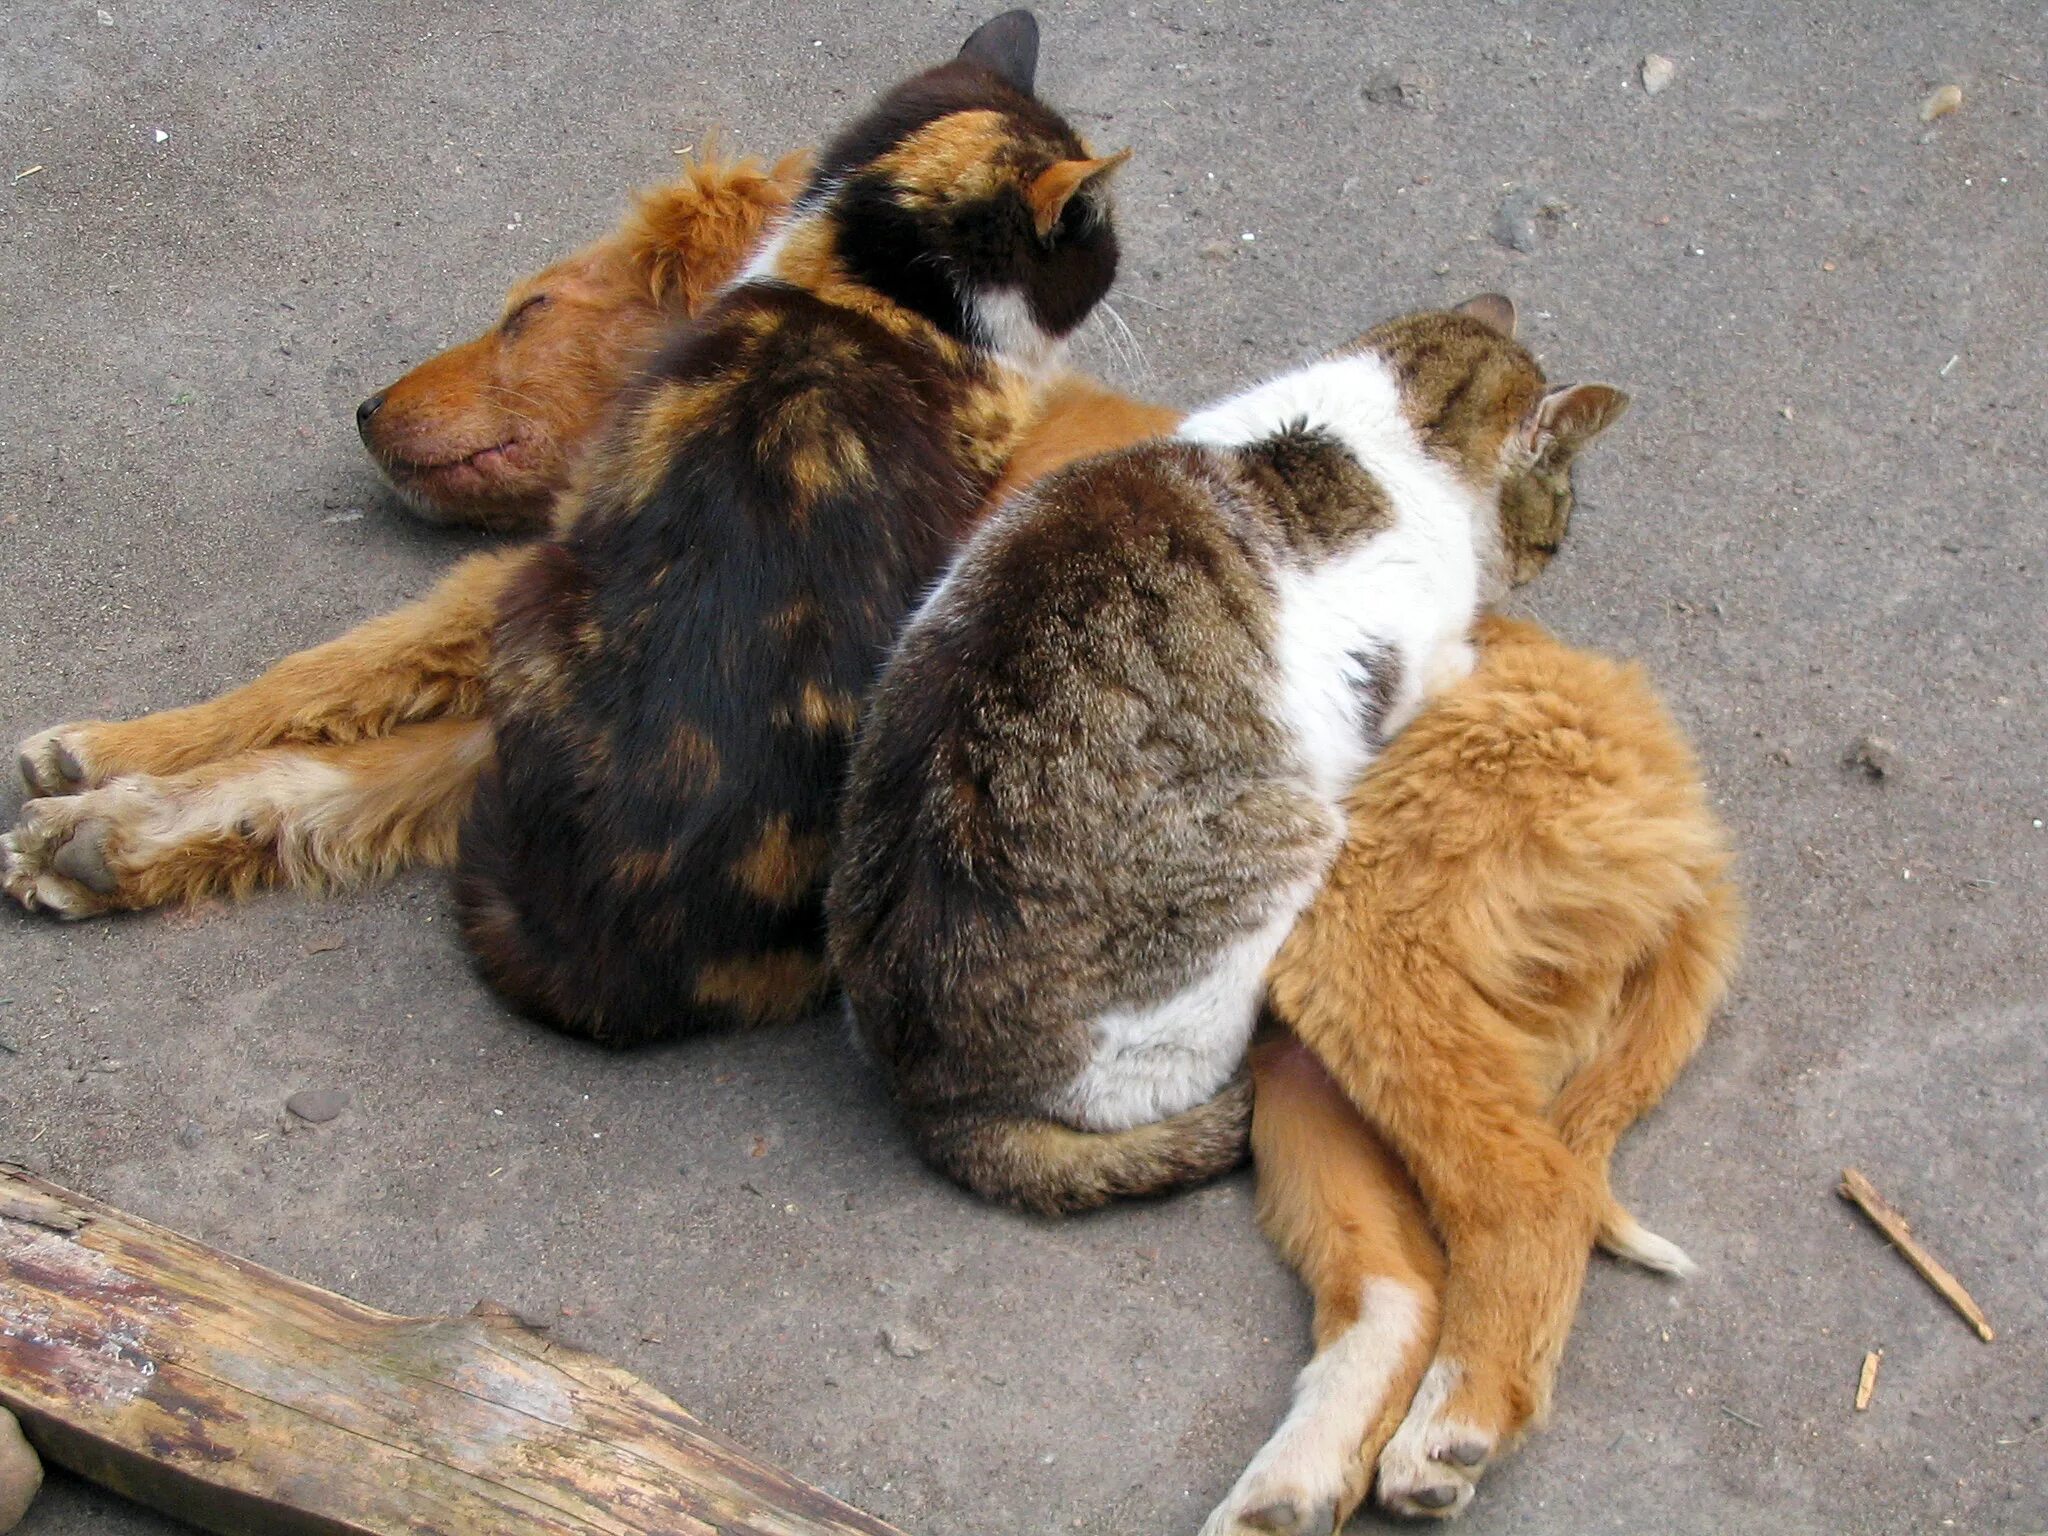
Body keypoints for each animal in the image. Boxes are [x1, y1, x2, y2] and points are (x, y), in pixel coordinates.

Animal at [823, 296, 1622, 1212]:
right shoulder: (1392, 667)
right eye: (1561, 520)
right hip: (1287, 839)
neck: (1380, 426)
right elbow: (1440, 667)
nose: (1546, 557)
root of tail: (936, 1097)